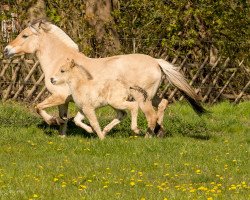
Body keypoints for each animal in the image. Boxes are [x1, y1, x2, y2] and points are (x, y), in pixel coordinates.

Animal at [3, 19, 205, 138]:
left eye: (25, 35)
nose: (6, 50)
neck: (60, 61)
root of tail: (156, 61)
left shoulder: (59, 96)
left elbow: (39, 107)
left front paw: (53, 122)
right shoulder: (66, 101)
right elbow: (66, 118)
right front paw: (62, 135)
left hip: (141, 98)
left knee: (150, 115)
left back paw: (146, 135)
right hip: (150, 95)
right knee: (162, 103)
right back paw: (158, 131)